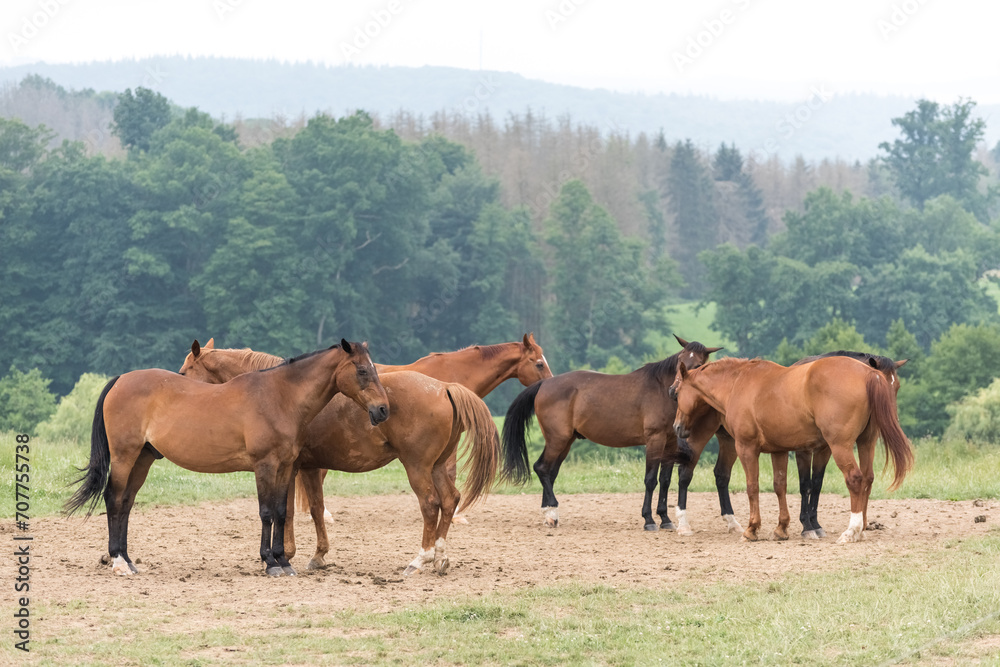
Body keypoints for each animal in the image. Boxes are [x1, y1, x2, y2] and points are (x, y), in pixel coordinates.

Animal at [66, 342, 390, 576]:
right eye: (363, 371)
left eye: (373, 369)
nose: (383, 409)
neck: (280, 396)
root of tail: (121, 380)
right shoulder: (265, 466)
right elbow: (267, 512)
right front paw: (270, 562)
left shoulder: (286, 467)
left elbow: (282, 512)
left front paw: (283, 561)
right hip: (125, 456)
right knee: (113, 499)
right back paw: (119, 562)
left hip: (142, 460)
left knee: (126, 503)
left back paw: (128, 560)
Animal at [504, 336, 724, 528]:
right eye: (680, 360)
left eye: (697, 365)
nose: (673, 391)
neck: (661, 389)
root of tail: (544, 384)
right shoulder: (655, 440)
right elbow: (650, 480)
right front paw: (648, 519)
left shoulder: (669, 442)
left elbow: (665, 480)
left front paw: (665, 518)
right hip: (557, 440)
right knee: (541, 468)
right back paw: (552, 511)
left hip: (565, 442)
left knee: (550, 472)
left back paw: (550, 516)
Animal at [664, 352, 908, 540]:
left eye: (677, 394)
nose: (677, 427)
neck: (737, 383)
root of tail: (868, 374)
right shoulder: (779, 450)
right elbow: (780, 485)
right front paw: (782, 528)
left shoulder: (747, 448)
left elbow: (753, 486)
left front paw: (753, 529)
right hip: (866, 442)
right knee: (867, 478)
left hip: (840, 446)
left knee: (856, 479)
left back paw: (852, 530)